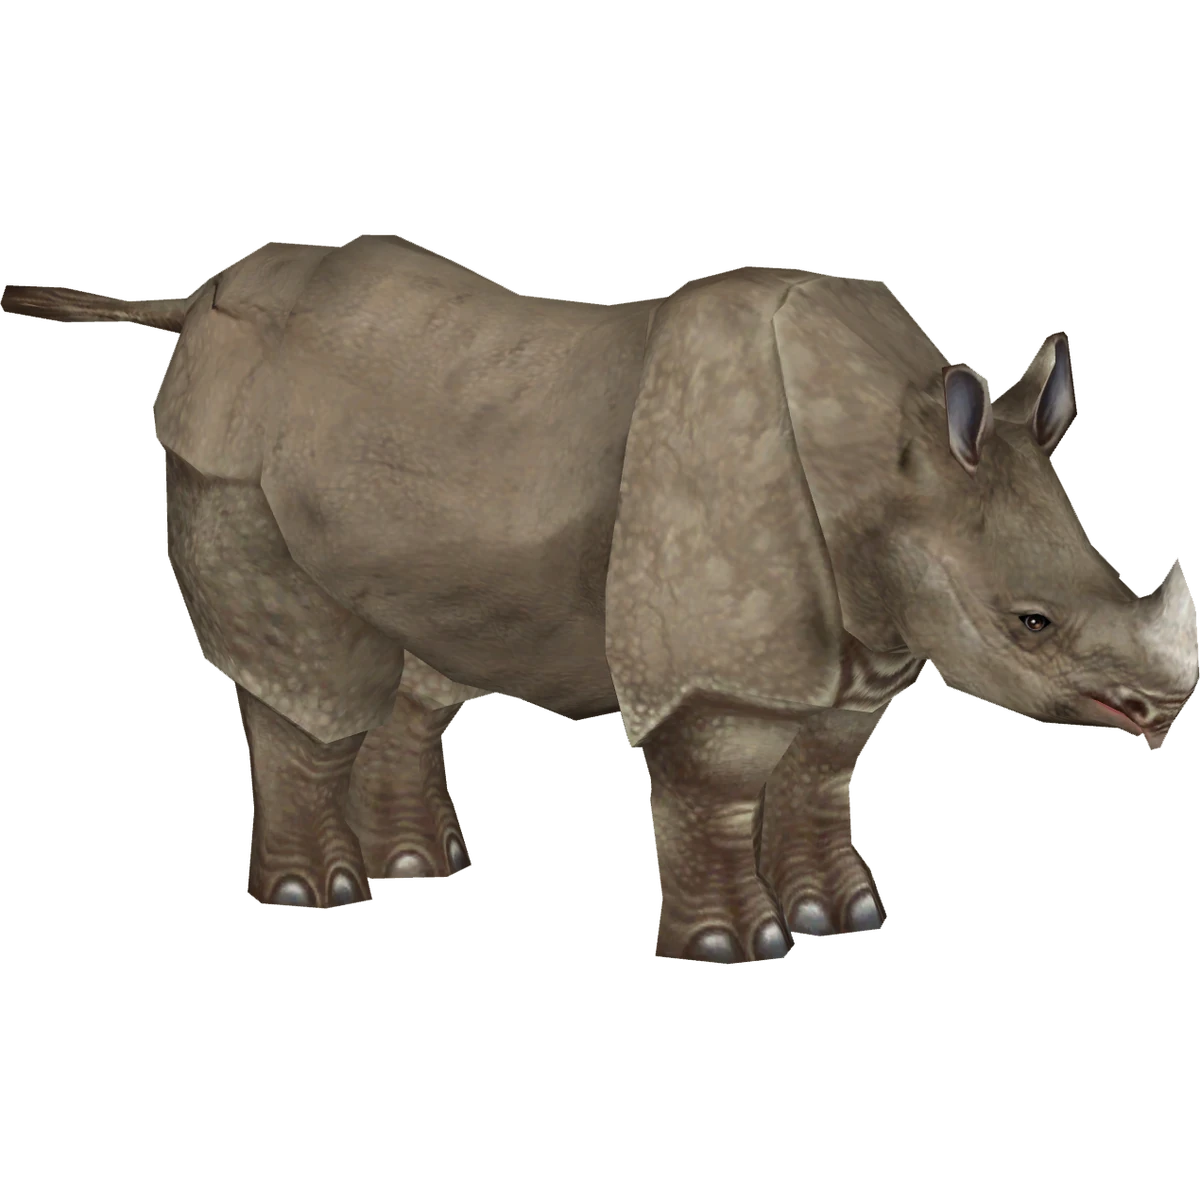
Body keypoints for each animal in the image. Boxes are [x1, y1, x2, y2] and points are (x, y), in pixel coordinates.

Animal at [4, 235, 1197, 964]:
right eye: (1031, 625)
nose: (1164, 711)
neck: (887, 456)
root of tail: (197, 300)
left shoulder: (860, 635)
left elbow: (822, 768)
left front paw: (844, 916)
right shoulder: (721, 645)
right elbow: (722, 778)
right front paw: (735, 947)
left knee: (414, 662)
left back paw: (426, 870)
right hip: (226, 440)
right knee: (316, 678)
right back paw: (321, 897)